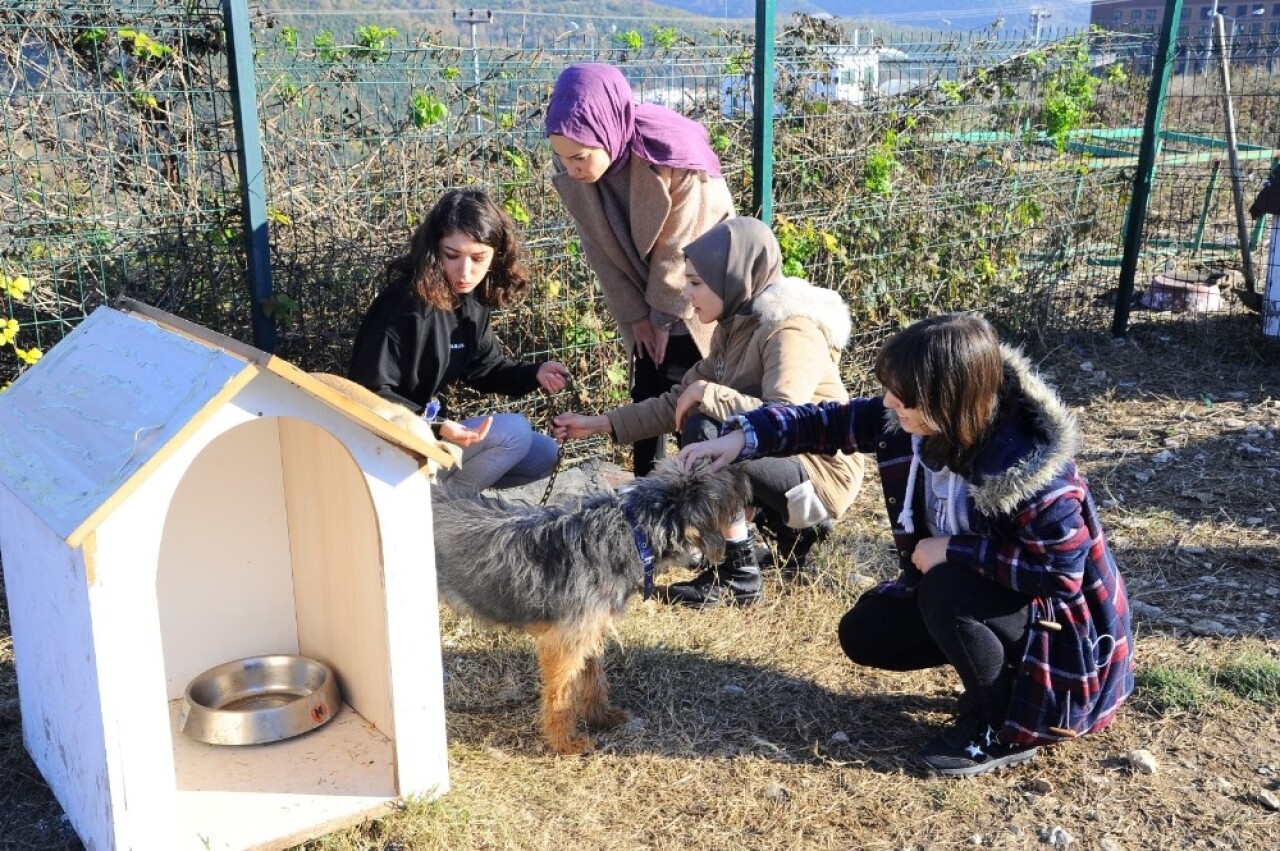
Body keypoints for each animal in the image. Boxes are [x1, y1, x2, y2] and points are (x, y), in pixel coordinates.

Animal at [432, 460, 747, 752]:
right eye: (721, 479)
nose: (744, 472)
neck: (633, 533)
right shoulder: (566, 640)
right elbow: (562, 690)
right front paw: (565, 742)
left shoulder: (592, 629)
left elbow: (593, 676)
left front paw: (601, 716)